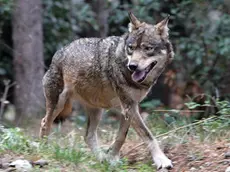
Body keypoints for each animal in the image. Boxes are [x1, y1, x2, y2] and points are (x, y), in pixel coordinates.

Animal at [39, 12, 173, 169]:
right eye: (131, 48)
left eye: (148, 48)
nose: (132, 66)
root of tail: (59, 51)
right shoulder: (129, 107)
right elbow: (148, 135)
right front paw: (162, 160)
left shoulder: (129, 108)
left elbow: (121, 137)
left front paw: (111, 159)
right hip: (58, 105)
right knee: (44, 123)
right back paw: (44, 150)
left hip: (96, 111)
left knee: (88, 136)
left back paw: (101, 158)